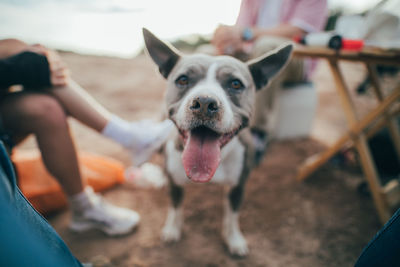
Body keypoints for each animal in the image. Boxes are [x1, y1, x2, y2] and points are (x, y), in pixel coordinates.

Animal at [142, 27, 292, 258]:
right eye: (183, 80)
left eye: (236, 84)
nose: (204, 102)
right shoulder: (175, 184)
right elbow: (175, 207)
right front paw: (172, 229)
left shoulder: (238, 186)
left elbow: (232, 216)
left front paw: (234, 239)